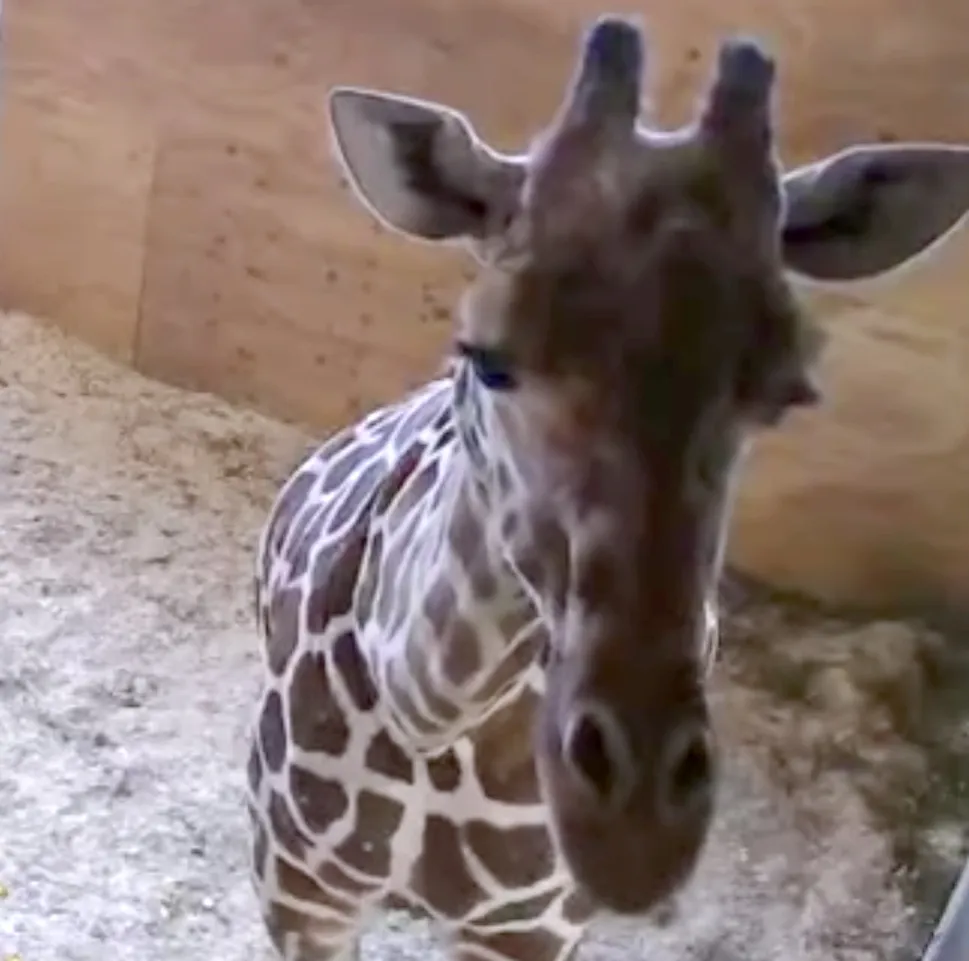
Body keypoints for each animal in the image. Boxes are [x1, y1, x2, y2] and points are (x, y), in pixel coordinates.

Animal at [246, 15, 969, 961]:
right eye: (486, 354)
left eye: (785, 393)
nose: (635, 832)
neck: (436, 715)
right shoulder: (297, 885)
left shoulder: (532, 933)